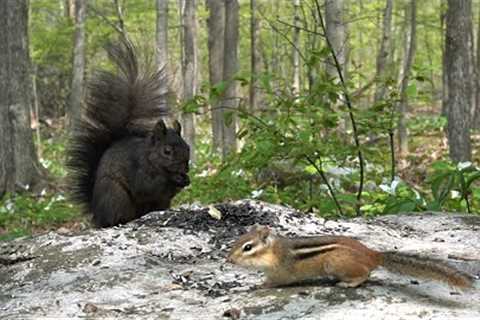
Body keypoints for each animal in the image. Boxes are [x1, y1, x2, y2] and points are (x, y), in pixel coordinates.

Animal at [66, 40, 190, 228]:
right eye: (166, 151)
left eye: (188, 147)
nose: (185, 168)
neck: (150, 158)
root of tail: (96, 214)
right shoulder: (137, 168)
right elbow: (146, 186)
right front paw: (173, 178)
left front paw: (186, 179)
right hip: (115, 195)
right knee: (116, 216)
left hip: (158, 204)